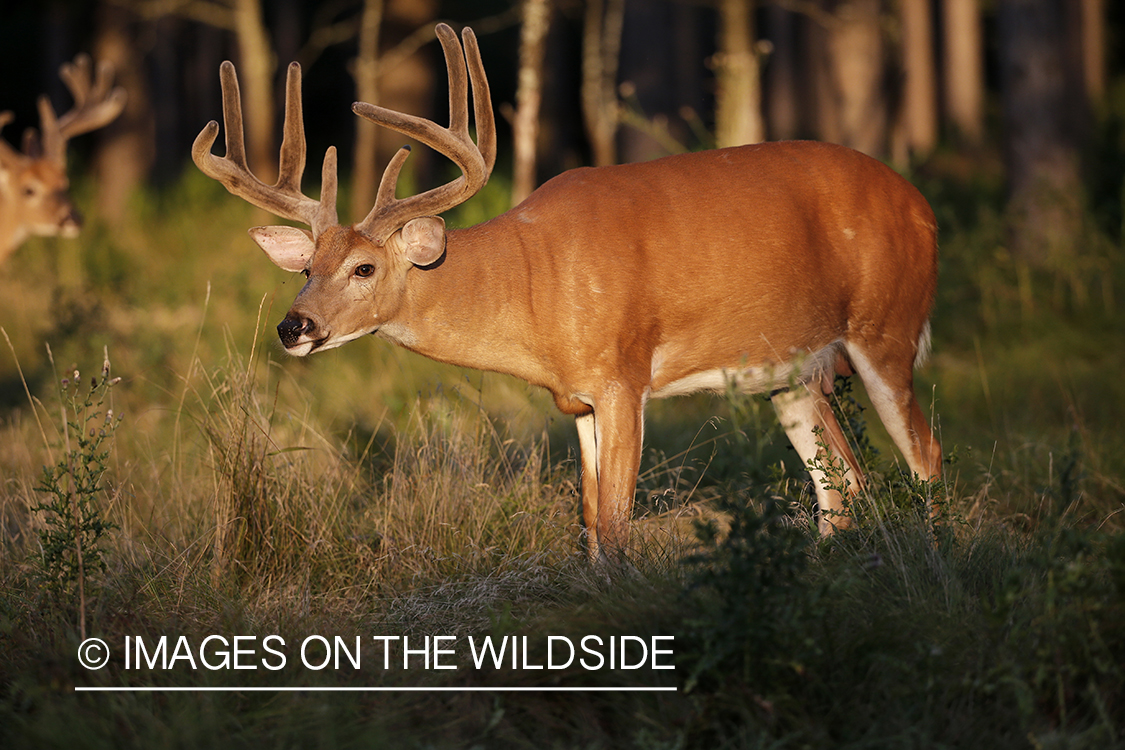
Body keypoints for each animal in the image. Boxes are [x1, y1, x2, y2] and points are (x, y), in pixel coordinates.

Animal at [191, 22, 940, 562]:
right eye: (305, 268)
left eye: (364, 269)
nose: (294, 326)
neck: (533, 284)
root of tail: (922, 206)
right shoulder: (576, 399)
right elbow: (589, 522)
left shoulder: (624, 376)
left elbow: (617, 523)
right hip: (792, 374)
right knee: (843, 484)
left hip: (887, 329)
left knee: (924, 459)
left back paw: (943, 564)